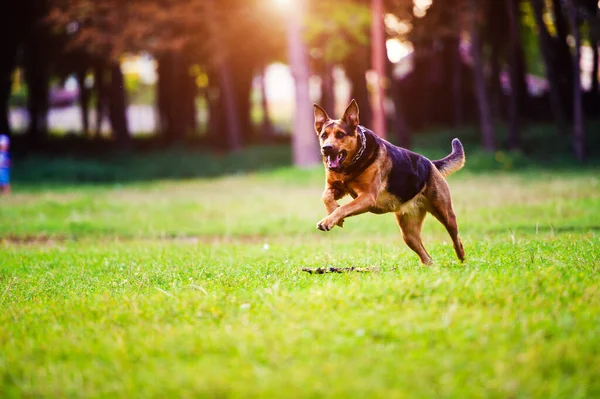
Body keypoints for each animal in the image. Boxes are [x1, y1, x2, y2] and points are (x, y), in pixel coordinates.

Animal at [316, 99, 466, 266]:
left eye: (340, 134)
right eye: (324, 135)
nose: (326, 148)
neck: (350, 166)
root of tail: (431, 164)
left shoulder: (367, 197)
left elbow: (344, 208)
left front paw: (330, 220)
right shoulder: (336, 187)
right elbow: (326, 197)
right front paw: (333, 213)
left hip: (446, 214)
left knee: (457, 240)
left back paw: (462, 261)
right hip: (408, 233)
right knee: (426, 257)